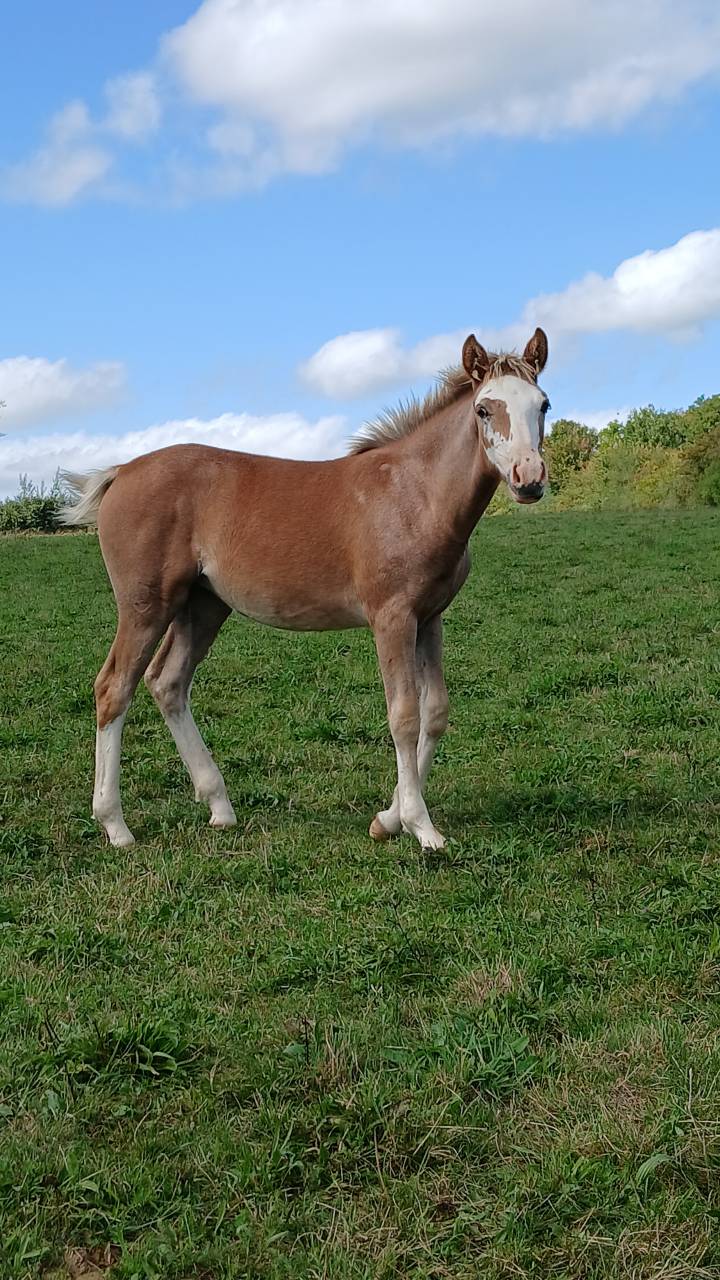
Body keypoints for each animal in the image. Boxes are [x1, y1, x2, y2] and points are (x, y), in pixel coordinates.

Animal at [60, 329, 550, 851]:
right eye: (484, 409)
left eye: (543, 404)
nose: (528, 478)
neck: (415, 493)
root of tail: (122, 470)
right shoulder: (391, 616)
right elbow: (403, 716)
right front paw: (422, 827)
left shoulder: (430, 617)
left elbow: (434, 711)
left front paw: (388, 819)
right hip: (146, 605)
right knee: (114, 687)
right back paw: (115, 825)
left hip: (203, 605)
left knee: (167, 681)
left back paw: (219, 806)